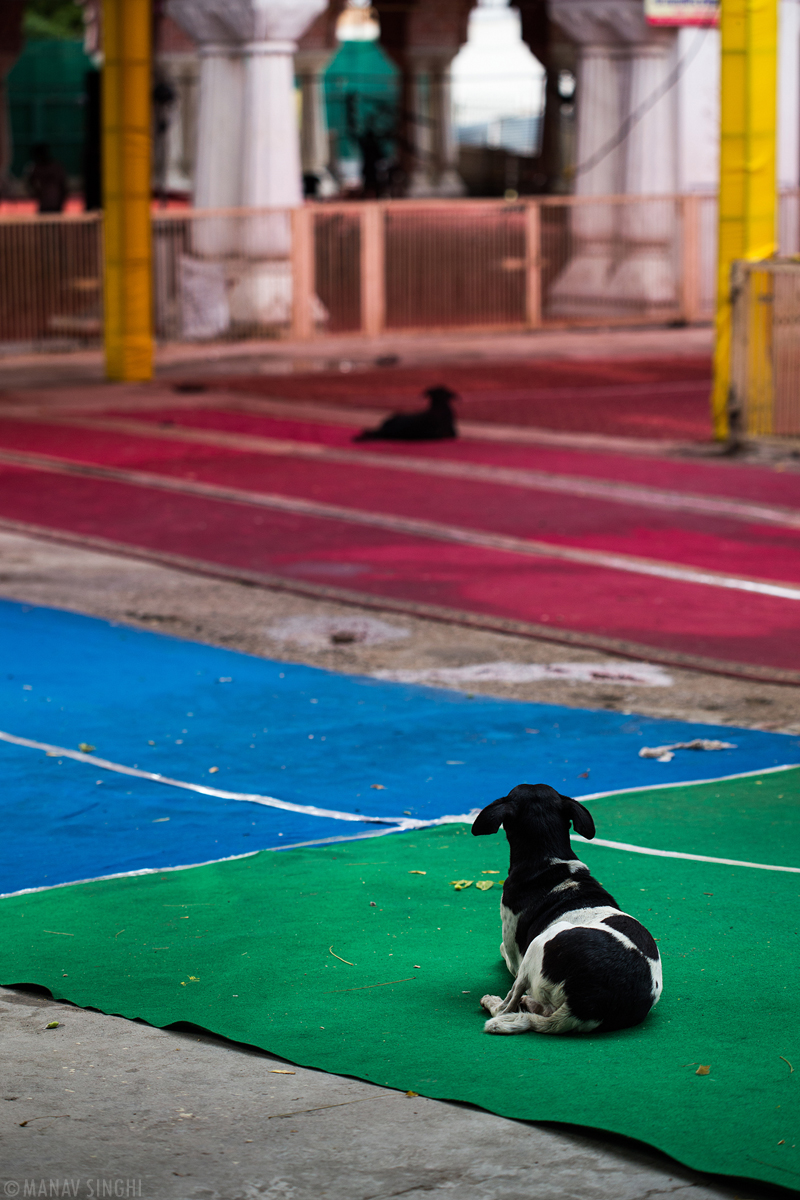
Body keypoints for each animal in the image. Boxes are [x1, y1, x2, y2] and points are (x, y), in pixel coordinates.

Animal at [470, 787, 662, 1032]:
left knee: (507, 1006)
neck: (549, 861)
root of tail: (583, 1005)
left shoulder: (514, 954)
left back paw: (494, 1002)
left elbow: (505, 951)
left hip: (540, 943)